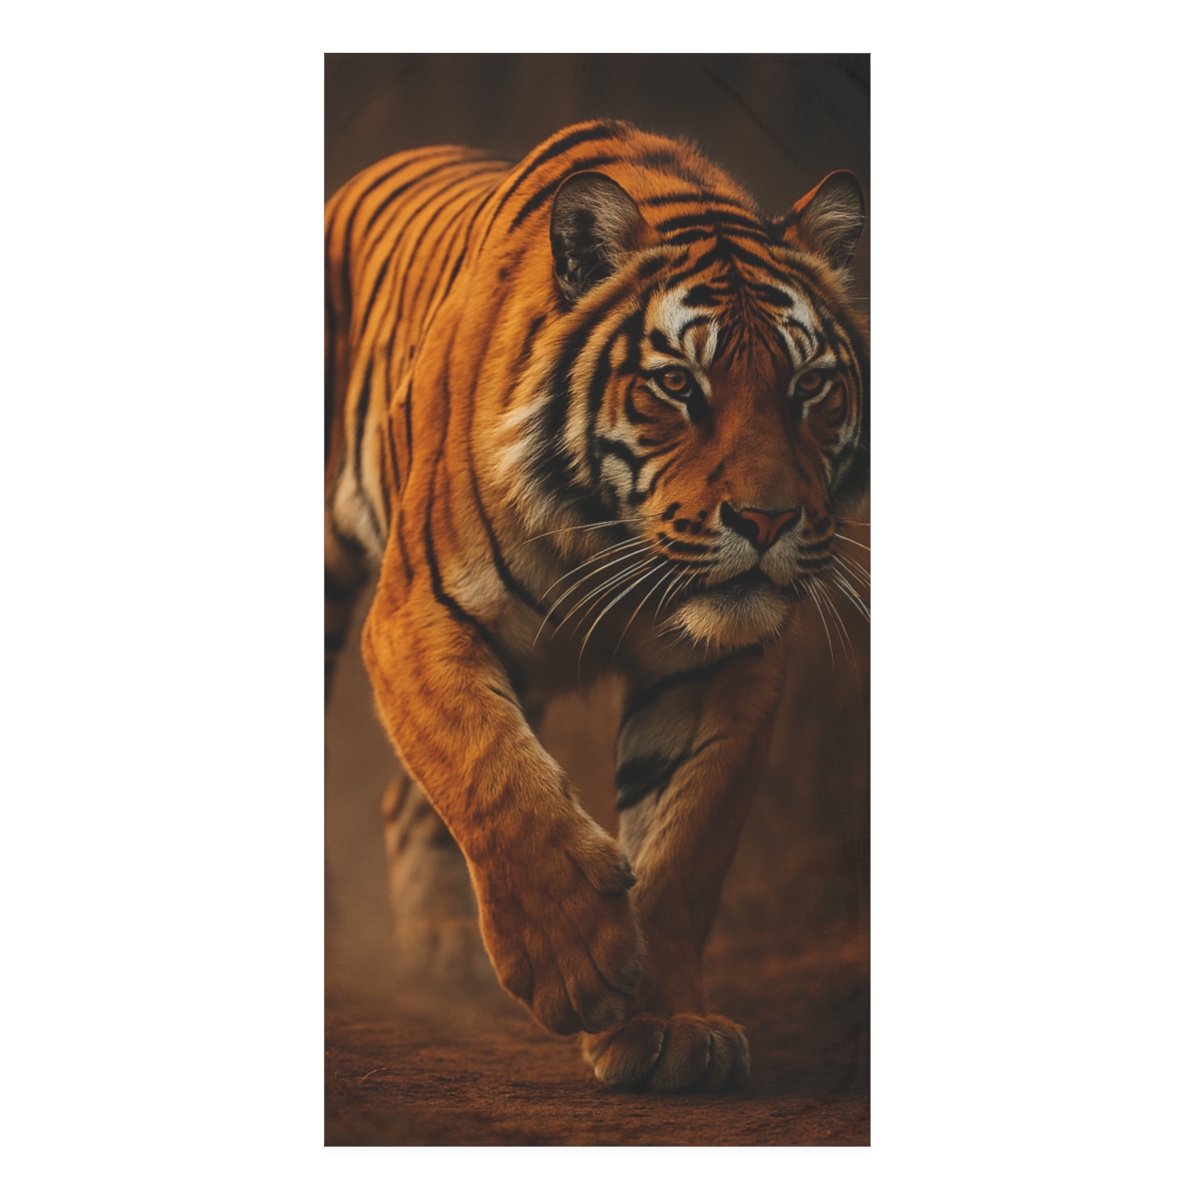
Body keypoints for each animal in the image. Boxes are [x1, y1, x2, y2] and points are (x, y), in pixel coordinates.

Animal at [324, 119, 869, 1094]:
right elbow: (493, 772)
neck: (607, 532)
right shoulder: (421, 613)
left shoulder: (722, 663)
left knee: (402, 801)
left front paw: (668, 1026)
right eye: (679, 386)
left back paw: (444, 964)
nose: (768, 520)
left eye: (809, 387)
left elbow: (685, 843)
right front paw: (575, 964)